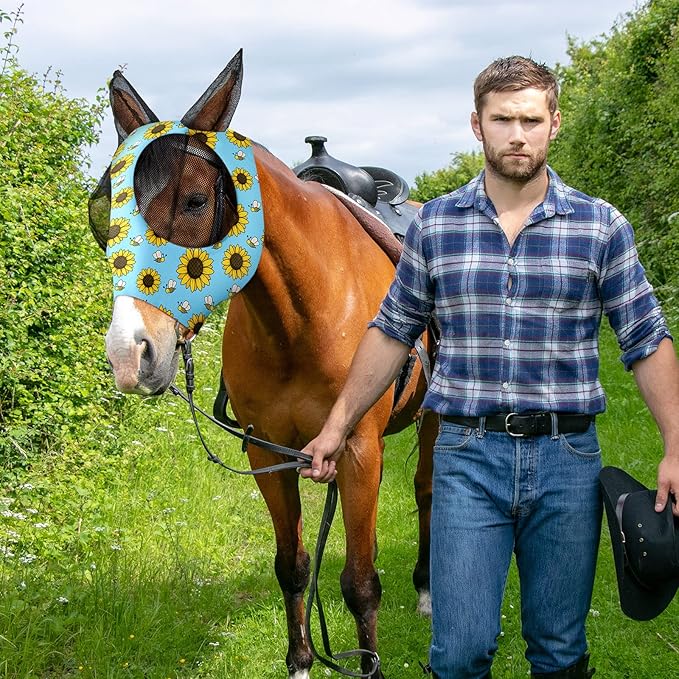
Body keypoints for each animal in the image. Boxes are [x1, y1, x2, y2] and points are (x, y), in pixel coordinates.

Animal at [93, 50, 436, 678]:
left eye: (195, 201)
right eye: (109, 212)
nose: (131, 352)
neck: (300, 319)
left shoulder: (358, 452)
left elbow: (360, 584)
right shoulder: (267, 453)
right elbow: (293, 566)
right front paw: (301, 661)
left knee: (426, 490)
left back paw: (426, 588)